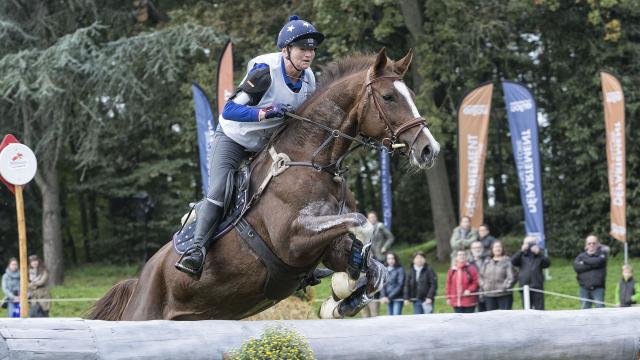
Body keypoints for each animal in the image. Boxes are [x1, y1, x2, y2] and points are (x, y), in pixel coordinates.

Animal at [87, 47, 440, 320]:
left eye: (410, 95)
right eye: (389, 97)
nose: (429, 149)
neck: (313, 161)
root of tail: (138, 281)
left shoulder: (327, 246)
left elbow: (376, 271)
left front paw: (345, 293)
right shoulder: (291, 239)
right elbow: (361, 223)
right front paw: (347, 286)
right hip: (146, 312)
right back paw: (191, 258)